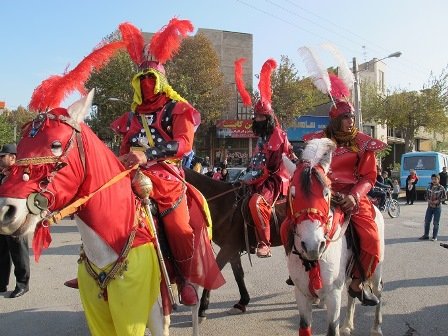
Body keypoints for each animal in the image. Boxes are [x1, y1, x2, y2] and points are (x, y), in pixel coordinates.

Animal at [183, 168, 286, 318]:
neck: (222, 203)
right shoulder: (232, 250)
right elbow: (238, 274)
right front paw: (242, 302)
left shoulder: (228, 248)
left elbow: (213, 272)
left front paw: (202, 307)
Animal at [284, 138, 384, 334]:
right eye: (292, 194)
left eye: (326, 193)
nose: (313, 246)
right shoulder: (301, 294)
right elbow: (304, 327)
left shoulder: (333, 295)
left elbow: (332, 329)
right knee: (352, 291)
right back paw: (347, 325)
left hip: (376, 270)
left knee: (378, 291)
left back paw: (376, 327)